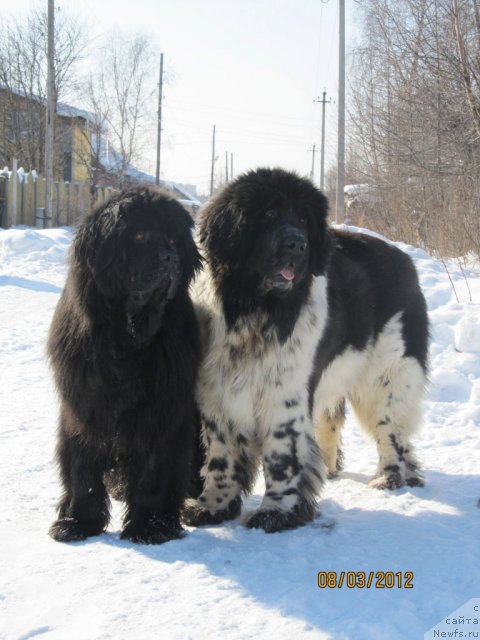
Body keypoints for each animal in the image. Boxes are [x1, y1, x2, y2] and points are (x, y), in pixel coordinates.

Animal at [50, 186, 202, 544]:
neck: (127, 342)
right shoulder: (85, 408)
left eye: (173, 240)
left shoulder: (160, 413)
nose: (170, 258)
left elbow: (152, 473)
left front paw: (150, 525)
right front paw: (78, 522)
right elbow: (83, 469)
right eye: (140, 235)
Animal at [183, 166, 428, 536]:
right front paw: (212, 506)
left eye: (302, 219)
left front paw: (277, 512)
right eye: (269, 214)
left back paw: (390, 476)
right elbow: (221, 457)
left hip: (386, 376)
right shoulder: (218, 394)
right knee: (333, 420)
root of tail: (405, 260)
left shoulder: (284, 396)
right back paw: (331, 468)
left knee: (392, 431)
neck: (258, 311)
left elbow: (282, 457)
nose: (297, 244)